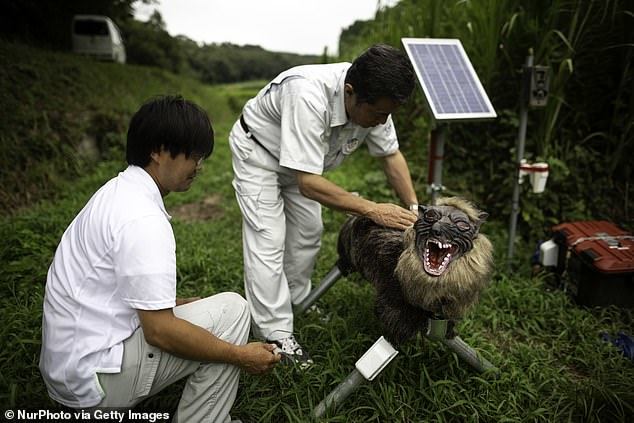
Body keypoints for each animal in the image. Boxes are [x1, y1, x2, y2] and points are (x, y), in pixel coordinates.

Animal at [336, 197, 494, 346]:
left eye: (461, 225)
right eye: (431, 216)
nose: (437, 230)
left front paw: (450, 329)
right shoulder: (391, 290)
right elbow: (395, 313)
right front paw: (402, 331)